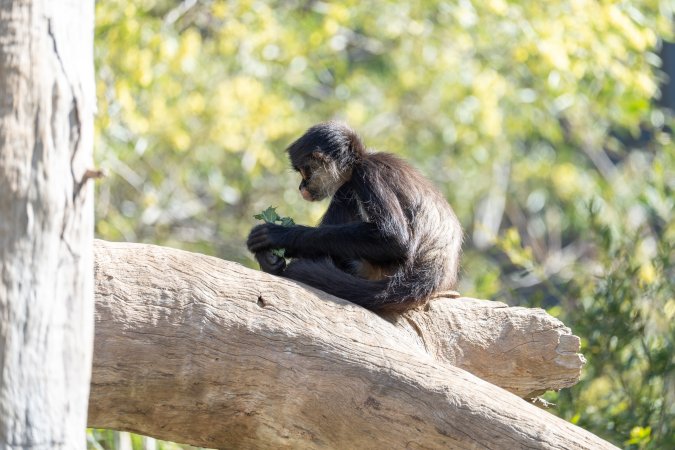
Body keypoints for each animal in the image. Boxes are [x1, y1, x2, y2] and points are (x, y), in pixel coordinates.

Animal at [247, 121, 462, 312]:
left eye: (304, 171)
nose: (301, 187)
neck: (361, 159)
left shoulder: (367, 172)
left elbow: (394, 240)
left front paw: (279, 235)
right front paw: (268, 257)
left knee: (345, 191)